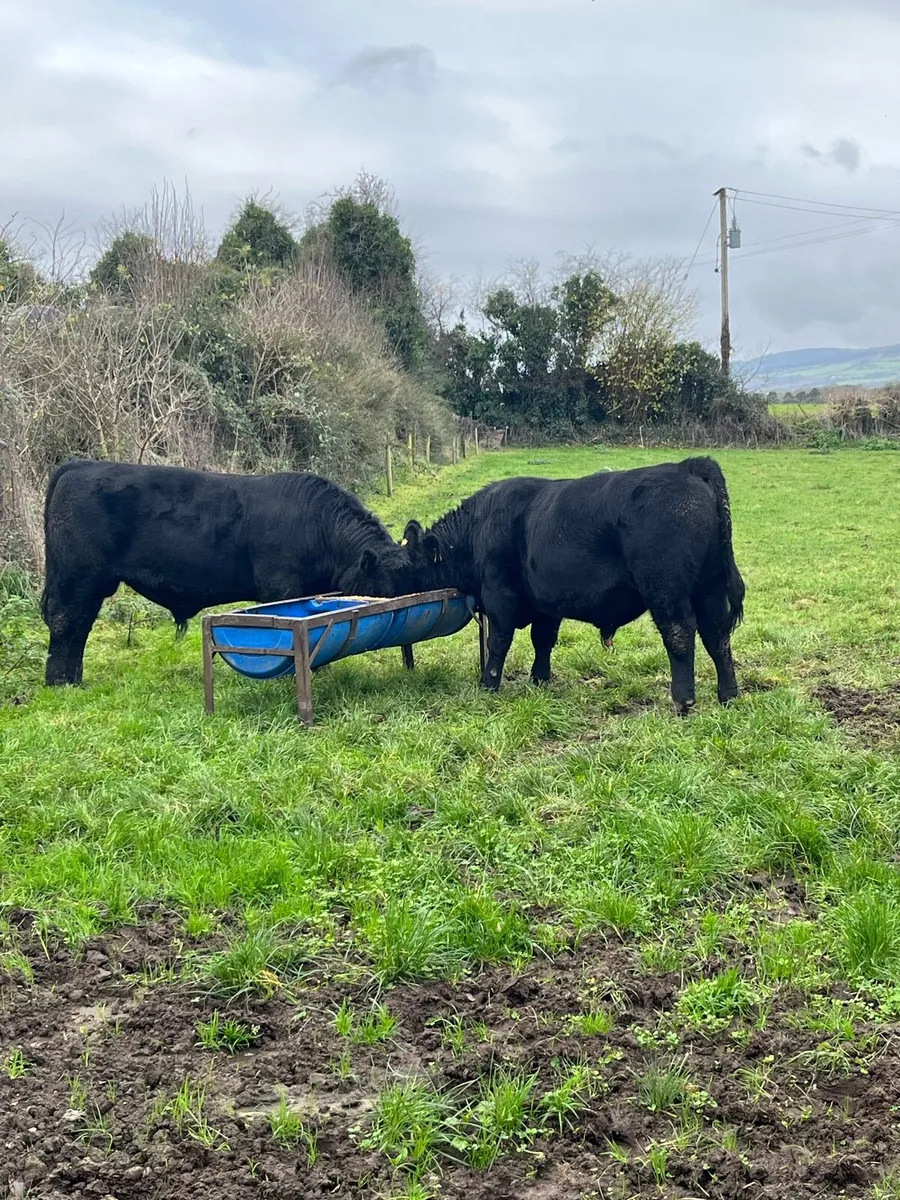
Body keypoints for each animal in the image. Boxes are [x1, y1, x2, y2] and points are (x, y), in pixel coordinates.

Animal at [41, 459, 398, 687]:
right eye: (381, 590)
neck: (318, 527)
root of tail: (79, 465)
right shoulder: (282, 586)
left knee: (78, 625)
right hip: (79, 577)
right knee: (67, 622)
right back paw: (62, 682)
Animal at [339, 456, 746, 714]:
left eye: (382, 570)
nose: (348, 588)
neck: (477, 529)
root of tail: (687, 467)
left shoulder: (500, 595)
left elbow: (499, 641)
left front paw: (488, 684)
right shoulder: (547, 602)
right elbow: (543, 639)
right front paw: (539, 679)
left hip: (667, 589)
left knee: (681, 634)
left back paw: (683, 699)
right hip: (708, 587)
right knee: (716, 636)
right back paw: (728, 695)